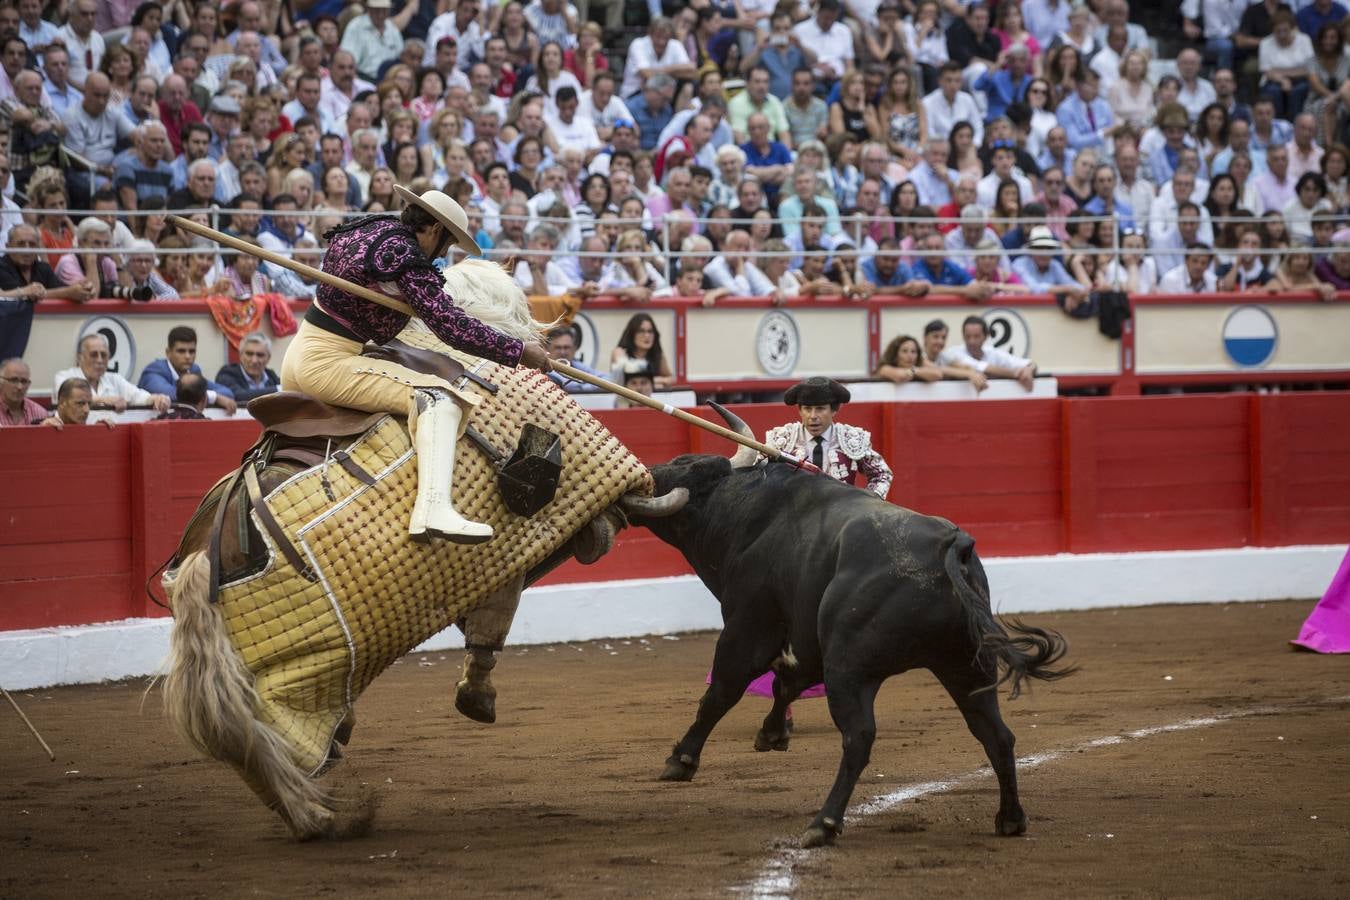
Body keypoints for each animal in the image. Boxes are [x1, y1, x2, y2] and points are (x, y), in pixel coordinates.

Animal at [621, 426, 1074, 847]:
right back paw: (1010, 819)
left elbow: (721, 693)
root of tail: (950, 545)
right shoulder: (805, 636)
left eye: (679, 472)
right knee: (995, 734)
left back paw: (823, 824)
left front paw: (681, 760)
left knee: (858, 737)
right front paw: (772, 734)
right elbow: (786, 682)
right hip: (966, 665)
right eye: (679, 459)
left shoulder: (749, 625)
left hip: (851, 669)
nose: (643, 475)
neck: (745, 513)